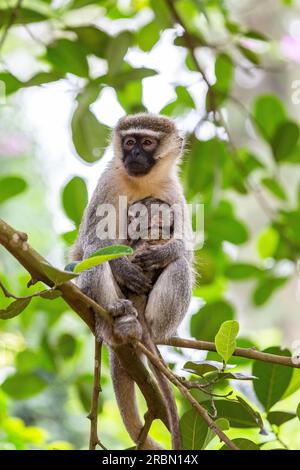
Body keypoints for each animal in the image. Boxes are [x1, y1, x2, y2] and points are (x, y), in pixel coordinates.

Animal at [73, 113, 195, 448]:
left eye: (148, 142)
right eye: (129, 142)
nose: (135, 154)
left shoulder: (173, 190)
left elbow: (185, 249)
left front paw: (165, 251)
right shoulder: (107, 182)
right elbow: (92, 244)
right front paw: (124, 267)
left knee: (180, 266)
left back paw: (144, 329)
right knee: (93, 261)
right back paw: (118, 317)